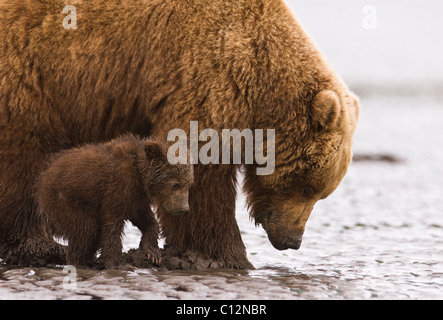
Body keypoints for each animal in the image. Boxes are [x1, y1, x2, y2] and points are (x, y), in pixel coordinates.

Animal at [0, 1, 360, 268]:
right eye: (308, 186)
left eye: (322, 193)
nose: (292, 241)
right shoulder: (202, 72)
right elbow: (199, 168)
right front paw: (219, 255)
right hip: (29, 73)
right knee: (23, 157)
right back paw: (39, 246)